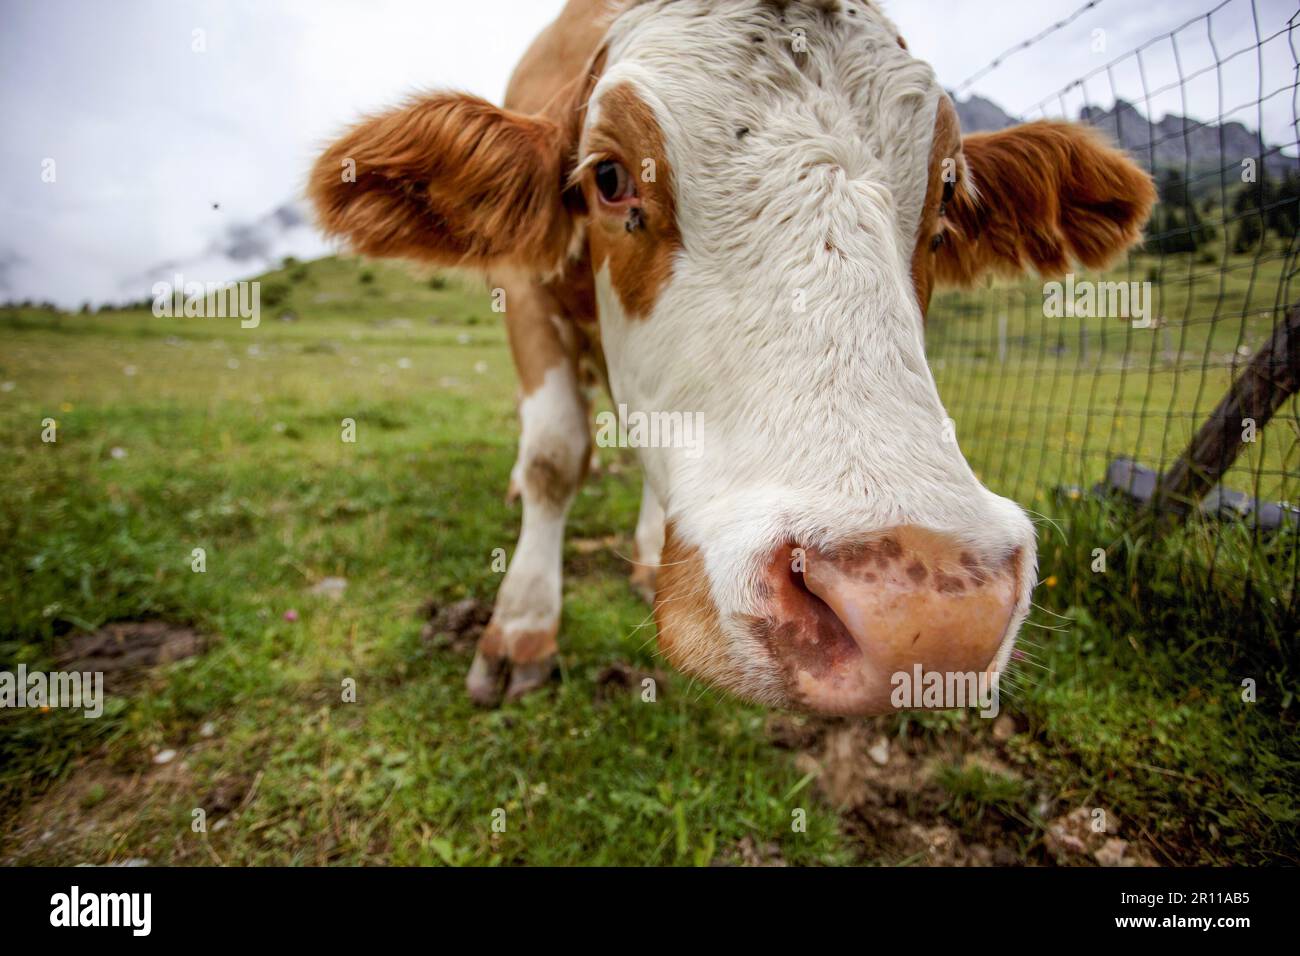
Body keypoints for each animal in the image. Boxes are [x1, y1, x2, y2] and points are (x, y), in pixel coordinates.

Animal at [306, 0, 1159, 712]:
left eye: (947, 193)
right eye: (609, 177)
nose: (927, 614)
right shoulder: (523, 287)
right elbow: (554, 452)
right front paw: (521, 627)